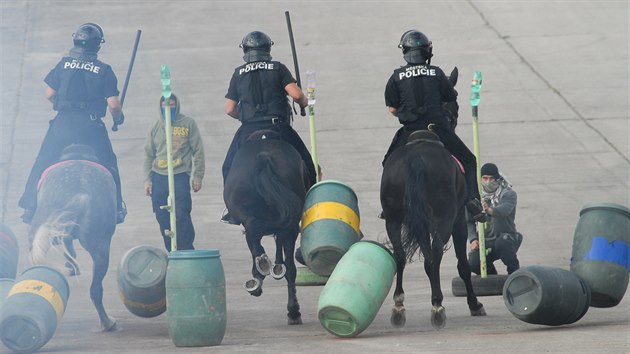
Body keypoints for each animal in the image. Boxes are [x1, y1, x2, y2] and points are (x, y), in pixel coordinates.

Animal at [29, 144, 119, 332]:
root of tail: (81, 193)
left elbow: (68, 248)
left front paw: (71, 266)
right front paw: (72, 266)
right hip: (101, 249)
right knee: (96, 290)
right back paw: (107, 323)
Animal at [225, 129, 312, 324]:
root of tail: (263, 158)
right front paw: (277, 265)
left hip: (253, 219)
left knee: (253, 234)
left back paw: (260, 275)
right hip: (290, 225)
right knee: (291, 268)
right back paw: (293, 310)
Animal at [380, 132, 488, 330]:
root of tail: (415, 159)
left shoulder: (421, 225)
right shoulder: (459, 222)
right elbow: (463, 266)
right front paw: (474, 304)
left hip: (393, 220)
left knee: (401, 256)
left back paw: (399, 306)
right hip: (444, 220)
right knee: (435, 254)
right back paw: (437, 306)